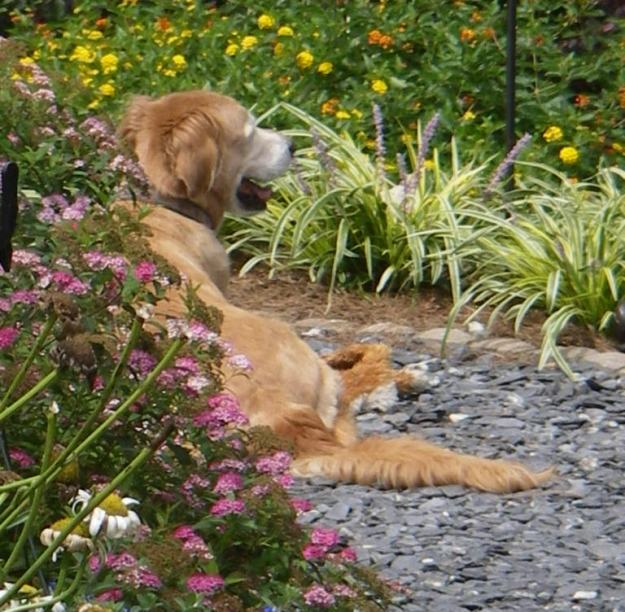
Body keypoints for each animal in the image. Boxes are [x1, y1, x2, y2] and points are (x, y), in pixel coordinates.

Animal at [117, 89, 552, 492]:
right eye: (250, 131)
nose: (293, 146)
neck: (159, 200)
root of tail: (278, 411)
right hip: (303, 354)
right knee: (350, 399)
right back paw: (400, 377)